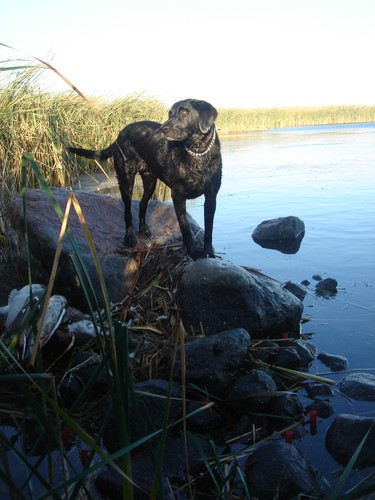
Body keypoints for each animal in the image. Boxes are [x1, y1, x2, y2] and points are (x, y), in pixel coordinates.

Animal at [69, 99, 222, 260]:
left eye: (184, 112)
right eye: (170, 113)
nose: (163, 129)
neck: (198, 152)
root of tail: (120, 134)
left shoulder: (211, 196)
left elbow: (209, 229)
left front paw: (209, 252)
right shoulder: (178, 196)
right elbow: (185, 228)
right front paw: (194, 253)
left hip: (150, 182)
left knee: (142, 204)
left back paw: (143, 229)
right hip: (126, 180)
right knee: (128, 211)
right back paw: (129, 237)